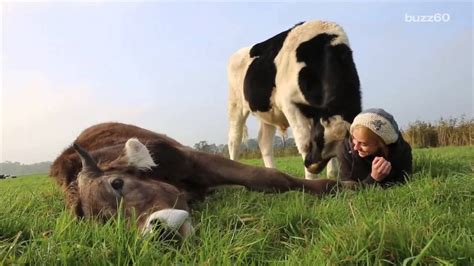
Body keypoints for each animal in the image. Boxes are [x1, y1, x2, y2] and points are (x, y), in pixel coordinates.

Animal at [50, 122, 354, 237]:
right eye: (107, 223)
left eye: (117, 183)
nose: (157, 231)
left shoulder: (195, 159)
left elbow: (267, 175)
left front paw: (341, 186)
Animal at [228, 20, 362, 179]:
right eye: (316, 139)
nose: (311, 166)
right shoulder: (290, 104)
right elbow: (303, 143)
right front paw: (311, 179)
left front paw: (331, 175)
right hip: (236, 105)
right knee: (234, 140)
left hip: (269, 111)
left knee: (264, 141)